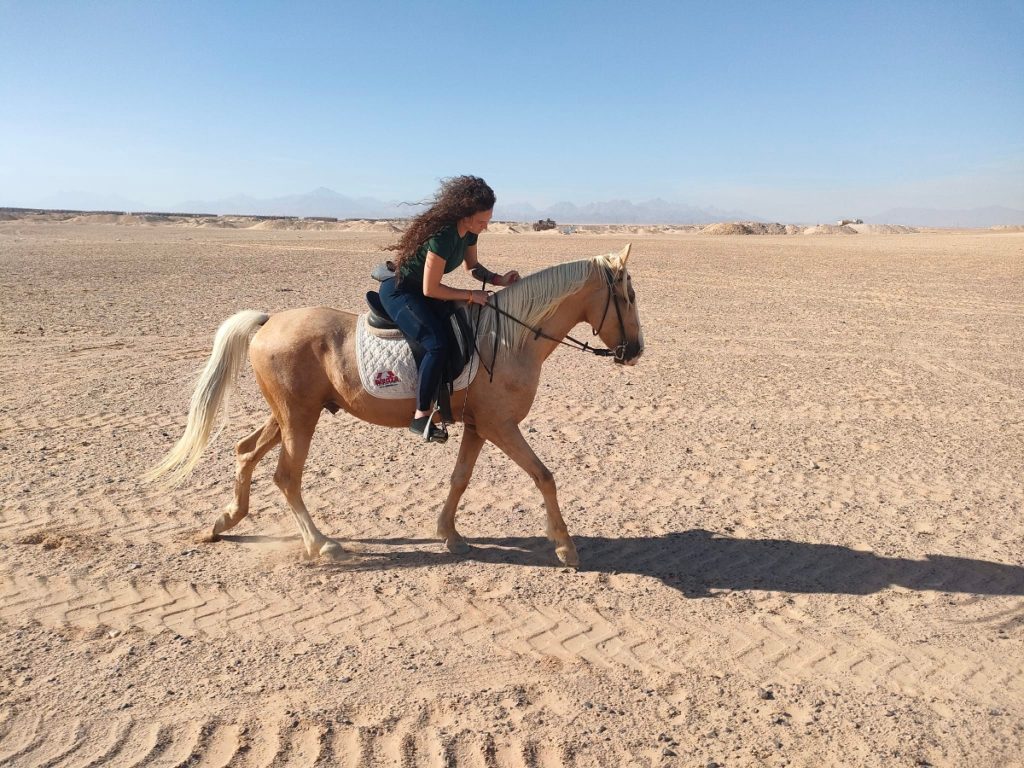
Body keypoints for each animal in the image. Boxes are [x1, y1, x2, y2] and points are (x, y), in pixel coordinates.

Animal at [145, 244, 644, 567]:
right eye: (629, 296)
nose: (636, 350)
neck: (508, 337)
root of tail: (268, 322)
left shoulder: (477, 427)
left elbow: (460, 479)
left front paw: (449, 535)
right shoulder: (501, 426)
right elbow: (544, 476)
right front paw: (565, 547)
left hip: (287, 414)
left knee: (245, 452)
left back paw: (223, 521)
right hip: (298, 418)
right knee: (286, 477)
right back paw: (321, 545)